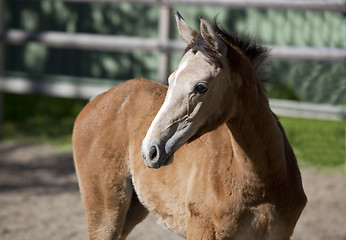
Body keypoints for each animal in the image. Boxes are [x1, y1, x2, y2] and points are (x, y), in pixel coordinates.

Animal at [73, 12, 306, 239]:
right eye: (171, 80)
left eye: (201, 87)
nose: (150, 150)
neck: (261, 185)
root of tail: (97, 100)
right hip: (106, 214)